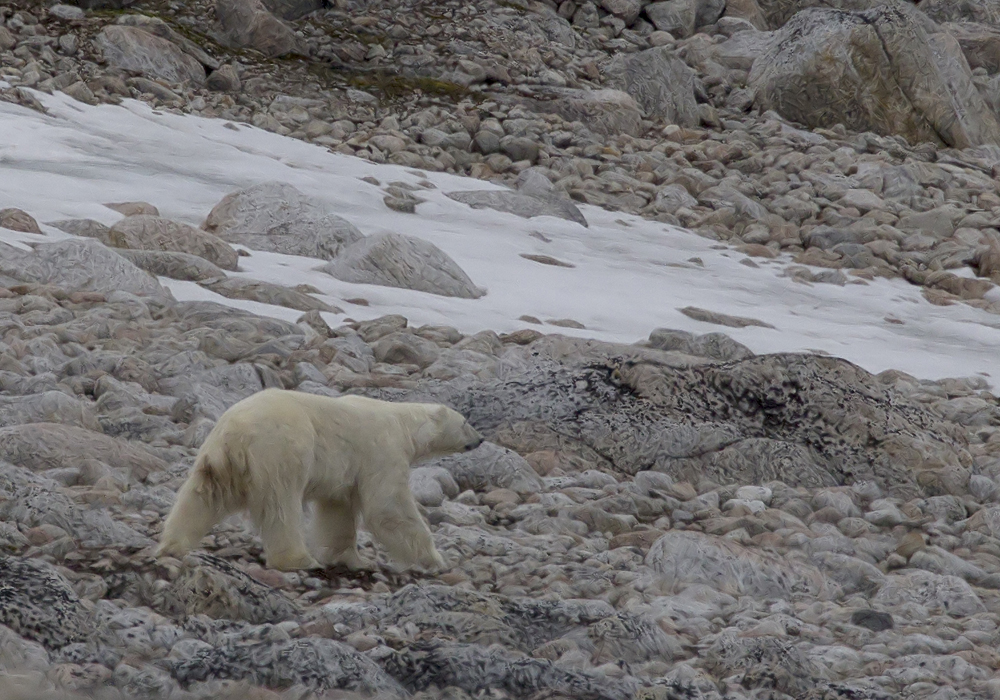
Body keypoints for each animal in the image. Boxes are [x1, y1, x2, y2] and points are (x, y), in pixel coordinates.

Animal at [156, 392, 484, 572]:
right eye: (465, 422)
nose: (481, 438)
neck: (403, 424)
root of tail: (233, 433)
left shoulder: (344, 472)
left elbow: (337, 510)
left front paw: (349, 558)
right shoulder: (382, 451)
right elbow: (388, 507)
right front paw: (435, 560)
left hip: (217, 461)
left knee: (201, 497)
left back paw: (173, 544)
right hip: (280, 449)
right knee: (280, 506)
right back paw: (298, 559)